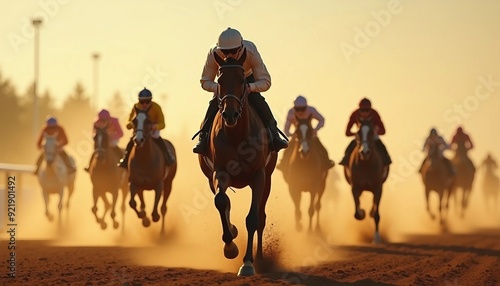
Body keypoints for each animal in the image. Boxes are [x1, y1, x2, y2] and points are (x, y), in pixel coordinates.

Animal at [128, 106, 177, 236]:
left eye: (148, 121)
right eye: (134, 120)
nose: (138, 140)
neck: (144, 160)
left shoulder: (159, 183)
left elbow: (156, 208)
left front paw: (154, 217)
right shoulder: (134, 182)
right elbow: (132, 203)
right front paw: (144, 218)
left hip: (169, 182)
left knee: (164, 208)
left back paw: (162, 233)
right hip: (141, 187)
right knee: (142, 202)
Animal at [198, 52, 278, 278]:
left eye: (242, 80)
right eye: (220, 81)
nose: (230, 114)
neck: (237, 136)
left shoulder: (259, 175)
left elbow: (253, 218)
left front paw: (248, 263)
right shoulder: (219, 173)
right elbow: (221, 202)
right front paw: (230, 246)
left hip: (268, 179)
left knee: (261, 216)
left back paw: (260, 259)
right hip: (210, 177)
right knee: (224, 201)